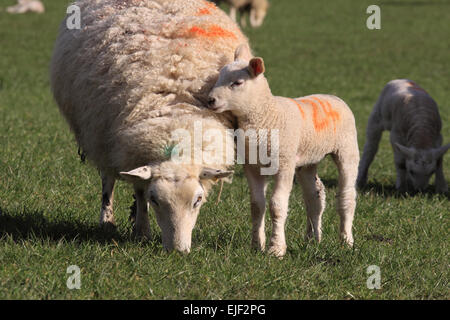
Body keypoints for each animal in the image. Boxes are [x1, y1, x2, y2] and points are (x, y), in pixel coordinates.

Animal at [51, 0, 250, 254]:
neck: (176, 118)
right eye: (155, 200)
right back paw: (108, 219)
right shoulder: (128, 149)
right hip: (99, 134)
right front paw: (142, 231)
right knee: (107, 179)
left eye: (198, 200)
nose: (178, 251)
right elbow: (139, 189)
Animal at [207, 44, 358, 258]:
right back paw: (313, 239)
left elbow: (277, 205)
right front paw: (256, 245)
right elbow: (257, 206)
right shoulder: (252, 166)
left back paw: (346, 241)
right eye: (218, 78)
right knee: (315, 196)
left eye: (237, 83)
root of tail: (332, 96)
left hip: (347, 148)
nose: (210, 100)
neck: (267, 115)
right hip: (307, 159)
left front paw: (276, 248)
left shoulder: (284, 163)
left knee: (347, 195)